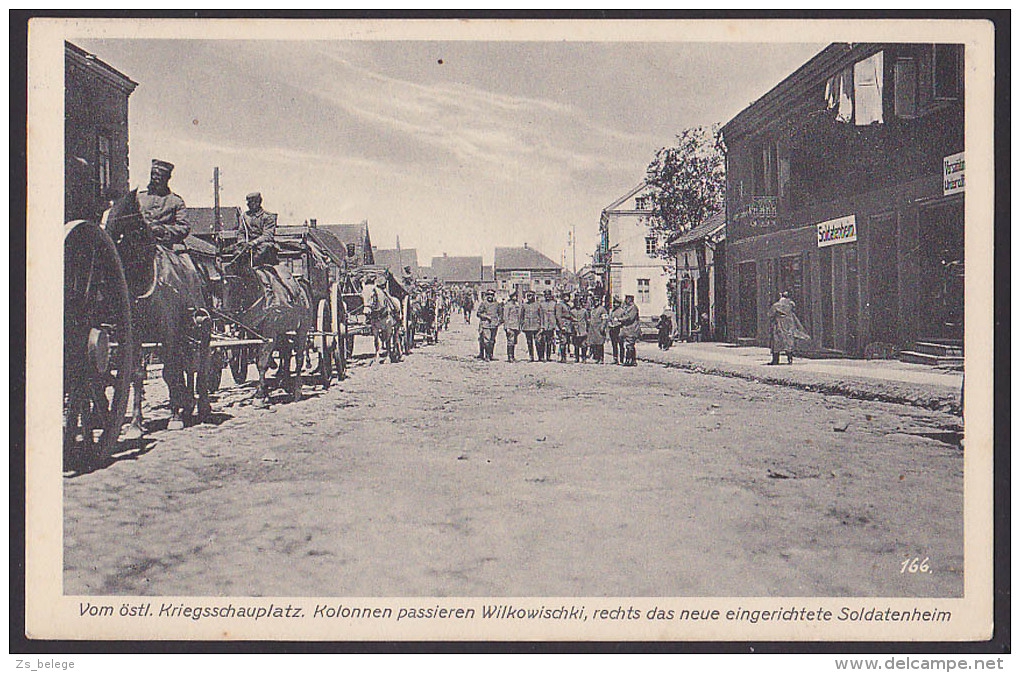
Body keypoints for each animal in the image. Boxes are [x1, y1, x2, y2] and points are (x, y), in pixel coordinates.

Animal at [103, 191, 213, 438]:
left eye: (129, 232)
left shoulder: (168, 333)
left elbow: (170, 372)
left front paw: (174, 418)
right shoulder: (136, 338)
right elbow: (137, 375)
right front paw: (135, 425)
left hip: (201, 327)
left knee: (200, 363)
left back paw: (201, 406)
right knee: (188, 364)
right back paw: (188, 404)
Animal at [217, 245, 308, 407]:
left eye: (237, 286)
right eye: (221, 288)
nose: (225, 317)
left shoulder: (269, 334)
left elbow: (262, 362)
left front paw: (260, 396)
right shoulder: (255, 334)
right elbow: (259, 357)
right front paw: (264, 391)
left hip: (302, 330)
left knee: (299, 357)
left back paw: (297, 390)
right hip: (283, 332)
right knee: (286, 352)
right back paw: (284, 380)